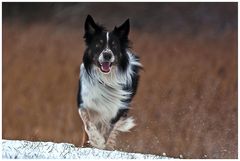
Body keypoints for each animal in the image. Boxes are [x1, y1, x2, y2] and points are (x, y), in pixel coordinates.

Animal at [77, 15, 141, 150]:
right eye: (98, 44)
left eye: (114, 45)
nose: (107, 55)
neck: (105, 78)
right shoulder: (84, 103)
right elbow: (88, 124)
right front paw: (96, 140)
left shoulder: (115, 109)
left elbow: (107, 130)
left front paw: (100, 143)